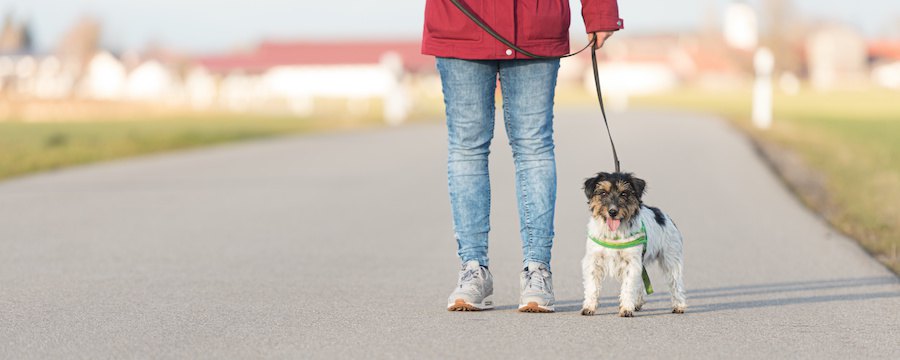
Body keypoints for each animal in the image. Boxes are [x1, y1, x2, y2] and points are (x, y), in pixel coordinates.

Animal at [580, 172, 684, 316]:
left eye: (624, 193)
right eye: (603, 193)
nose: (613, 212)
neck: (614, 234)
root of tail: (664, 215)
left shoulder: (631, 262)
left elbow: (628, 286)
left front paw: (626, 309)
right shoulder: (593, 261)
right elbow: (592, 286)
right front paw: (589, 307)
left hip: (671, 259)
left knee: (675, 282)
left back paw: (679, 305)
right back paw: (637, 303)